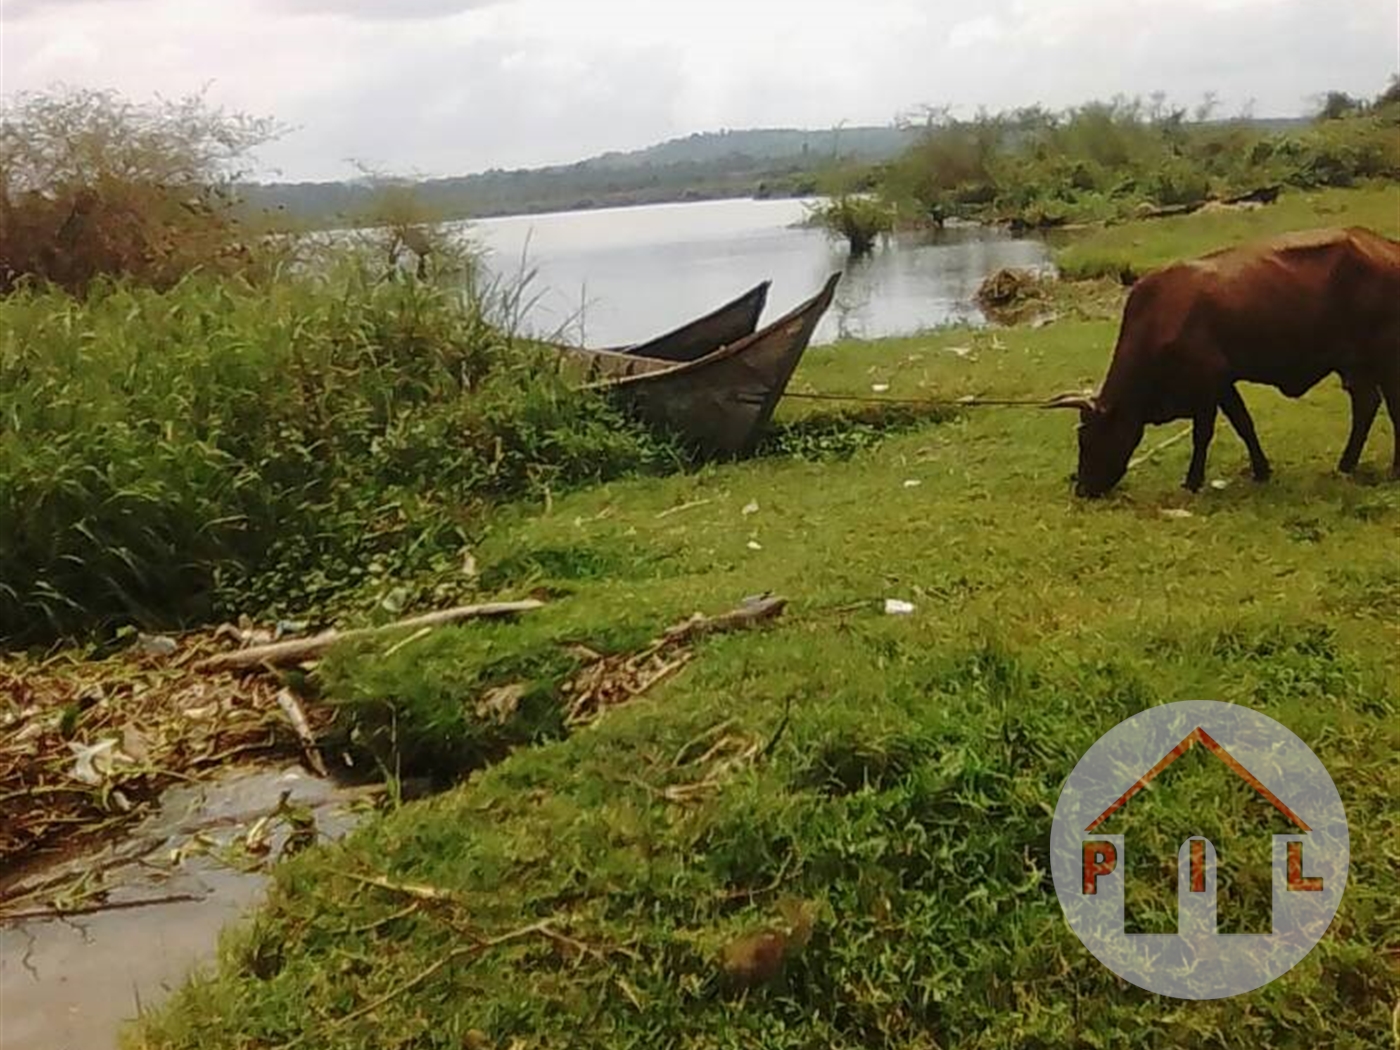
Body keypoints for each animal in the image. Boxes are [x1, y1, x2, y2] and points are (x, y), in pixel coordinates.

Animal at [1047, 226, 1400, 498]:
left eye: (1088, 438)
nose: (1083, 489)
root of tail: (1385, 246)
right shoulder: (1224, 383)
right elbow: (1244, 424)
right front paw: (1261, 470)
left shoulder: (1206, 383)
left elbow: (1202, 434)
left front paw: (1192, 481)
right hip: (1356, 364)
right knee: (1366, 405)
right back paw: (1346, 465)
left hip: (1386, 357)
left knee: (1392, 410)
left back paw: (1393, 470)